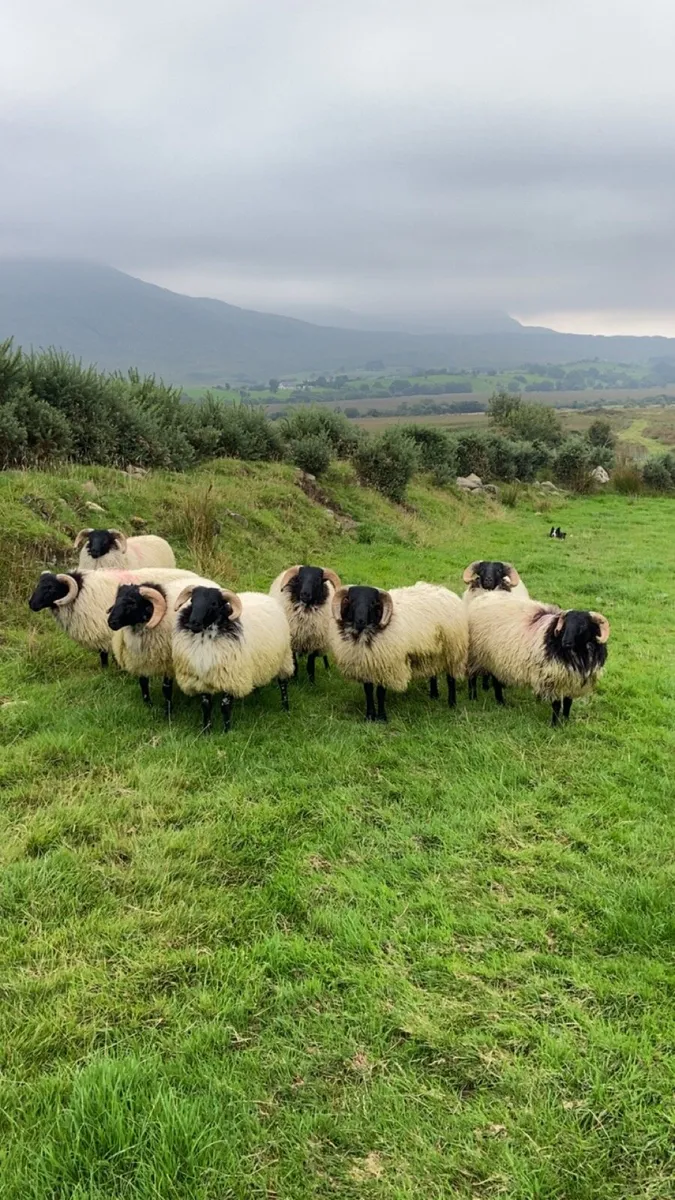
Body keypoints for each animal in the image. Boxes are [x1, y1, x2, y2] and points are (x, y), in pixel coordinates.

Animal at [28, 567, 197, 668]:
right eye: (38, 584)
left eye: (51, 588)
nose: (31, 604)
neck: (79, 595)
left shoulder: (106, 631)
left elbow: (105, 653)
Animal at [107, 573, 209, 715]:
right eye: (116, 600)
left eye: (132, 603)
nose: (111, 622)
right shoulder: (141, 658)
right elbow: (143, 682)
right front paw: (148, 704)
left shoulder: (169, 663)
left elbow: (166, 688)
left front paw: (168, 711)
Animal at [171, 583, 294, 732]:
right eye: (192, 600)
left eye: (214, 603)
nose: (193, 624)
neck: (205, 638)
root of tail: (262, 595)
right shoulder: (202, 679)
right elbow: (206, 706)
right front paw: (206, 730)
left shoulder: (231, 678)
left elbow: (225, 706)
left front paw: (226, 731)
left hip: (284, 659)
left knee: (283, 685)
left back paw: (285, 708)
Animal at [328, 581, 468, 721]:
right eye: (351, 600)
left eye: (373, 603)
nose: (360, 621)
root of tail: (445, 591)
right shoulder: (367, 665)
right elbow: (368, 691)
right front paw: (369, 716)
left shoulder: (386, 666)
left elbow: (380, 693)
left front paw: (382, 718)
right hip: (432, 650)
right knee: (433, 670)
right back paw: (434, 695)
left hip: (452, 648)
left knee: (451, 678)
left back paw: (452, 703)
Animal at [467, 592, 610, 726]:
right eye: (565, 625)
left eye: (583, 625)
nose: (566, 642)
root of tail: (484, 596)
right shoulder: (554, 679)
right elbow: (556, 704)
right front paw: (555, 725)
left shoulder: (572, 679)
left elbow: (568, 703)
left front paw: (566, 720)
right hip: (476, 655)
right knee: (472, 678)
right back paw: (474, 697)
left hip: (495, 659)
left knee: (496, 681)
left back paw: (500, 701)